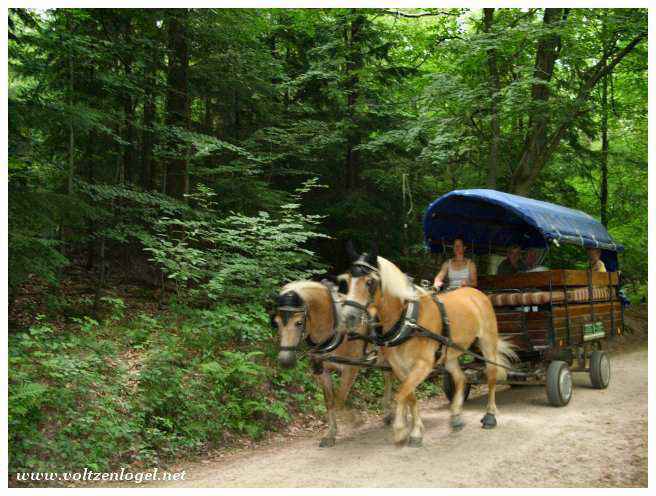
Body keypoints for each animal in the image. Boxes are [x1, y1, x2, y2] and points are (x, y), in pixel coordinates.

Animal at [272, 280, 394, 448]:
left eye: (298, 322)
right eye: (276, 323)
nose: (285, 361)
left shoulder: (350, 369)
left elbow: (339, 400)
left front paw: (355, 420)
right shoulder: (323, 371)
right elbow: (329, 402)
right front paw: (330, 435)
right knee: (388, 377)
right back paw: (388, 413)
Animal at [340, 247, 516, 446]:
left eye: (369, 282)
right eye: (347, 280)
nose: (349, 316)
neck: (408, 319)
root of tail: (477, 293)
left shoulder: (423, 365)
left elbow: (400, 394)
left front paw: (400, 429)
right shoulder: (399, 367)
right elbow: (410, 396)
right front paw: (415, 431)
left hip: (487, 342)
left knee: (492, 375)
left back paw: (490, 416)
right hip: (449, 354)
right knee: (461, 378)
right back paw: (456, 416)